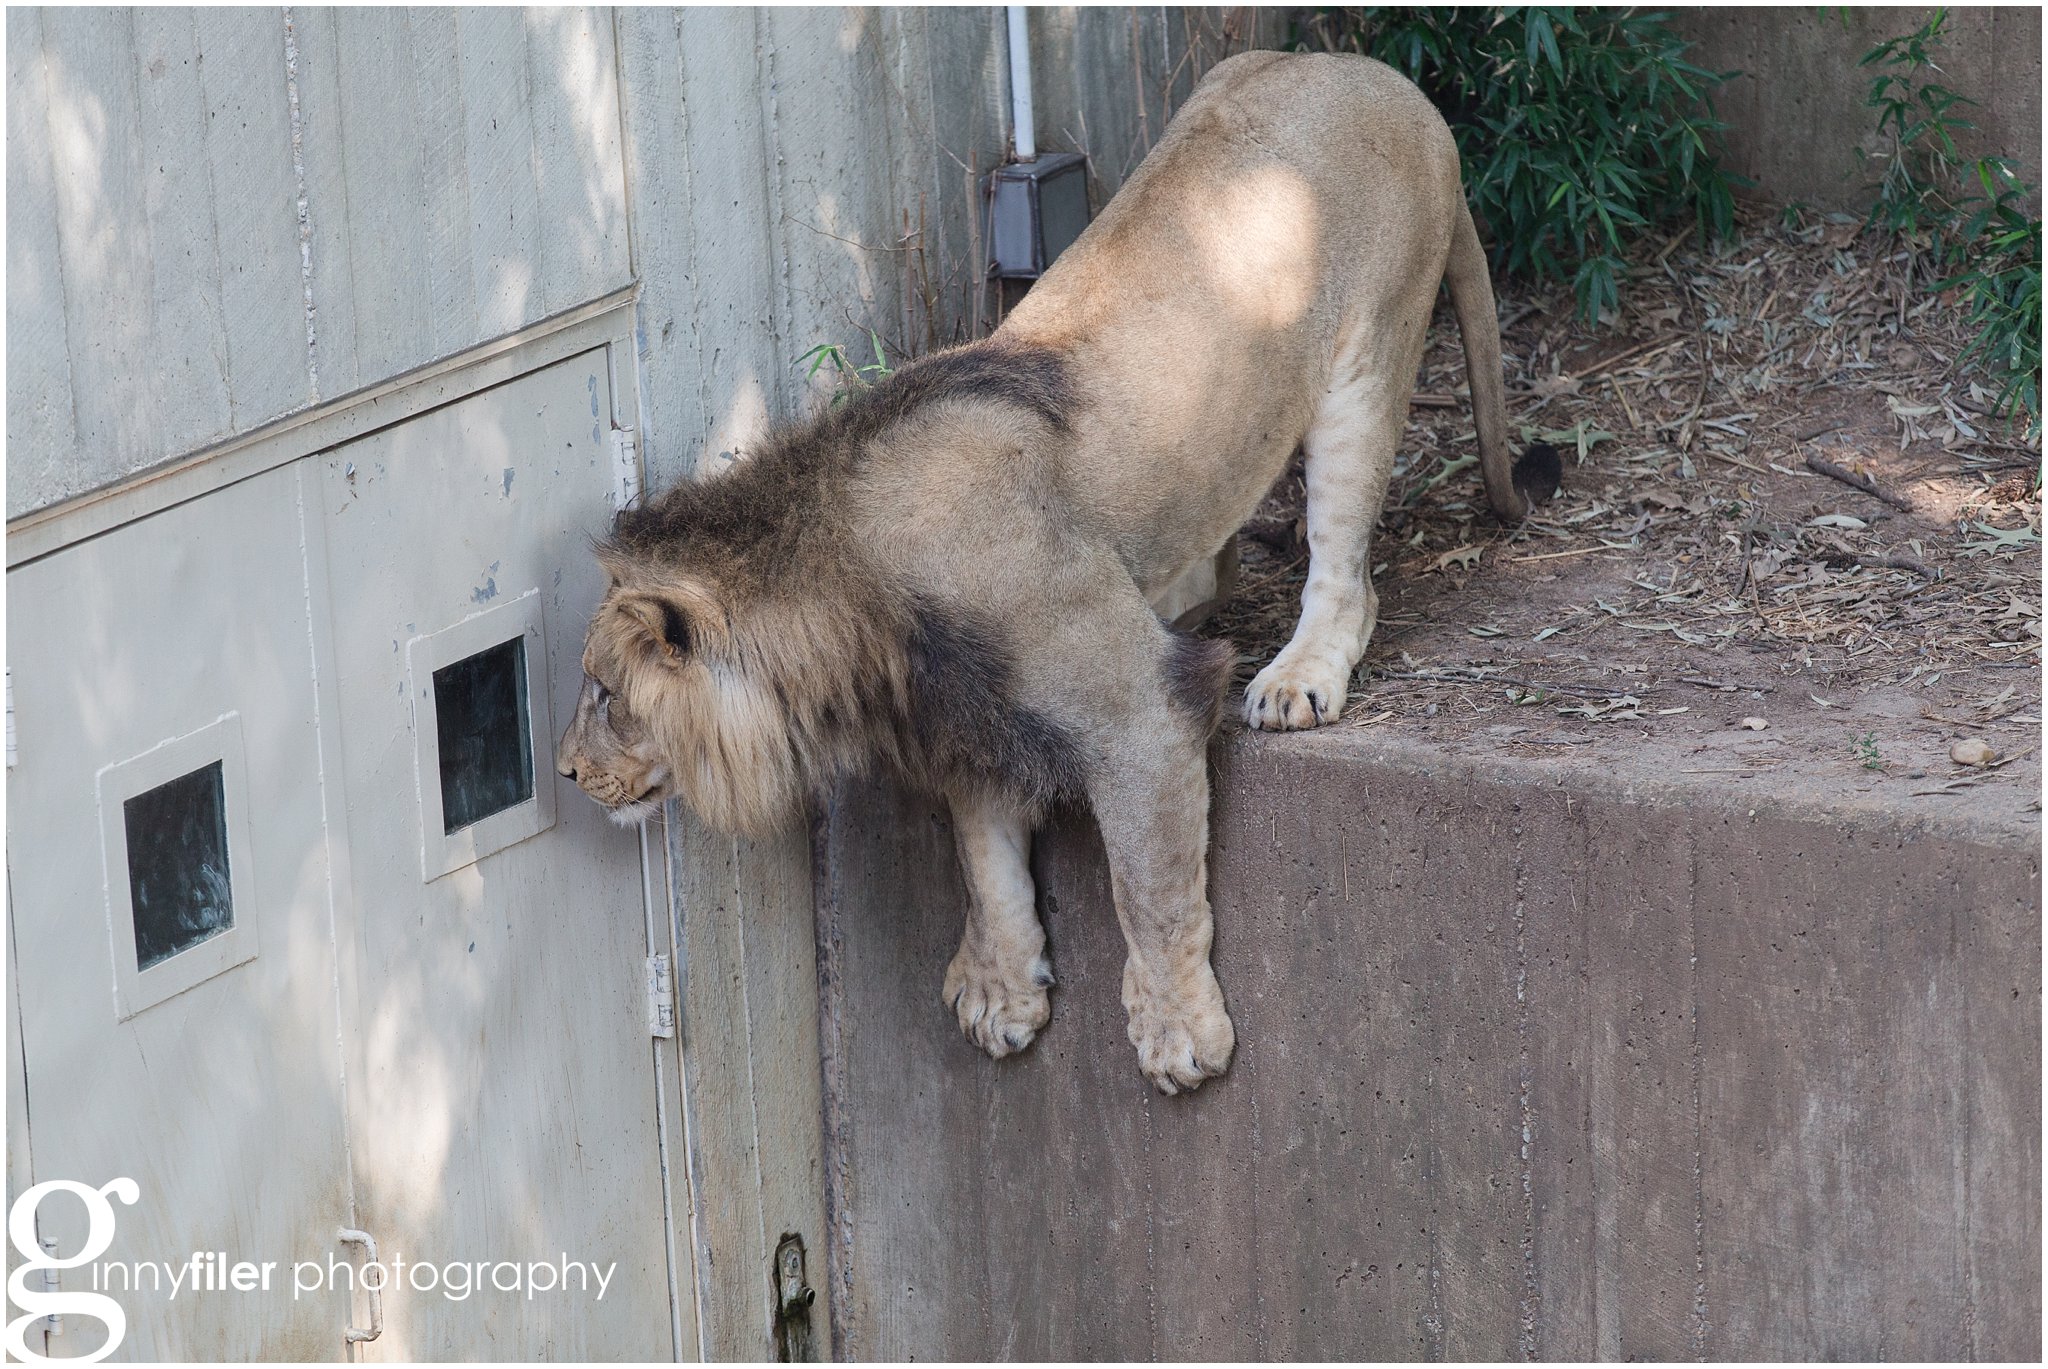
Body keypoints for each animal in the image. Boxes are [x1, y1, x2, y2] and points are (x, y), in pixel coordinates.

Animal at [552, 53, 1556, 1090]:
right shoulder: (966, 721)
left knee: (1348, 578)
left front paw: (1176, 1028)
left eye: (604, 692)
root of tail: (1388, 79)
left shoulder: (1135, 707)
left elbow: (1148, 881)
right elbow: (982, 852)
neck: (852, 602)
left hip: (1366, 367)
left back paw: (1297, 675)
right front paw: (1000, 988)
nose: (567, 773)